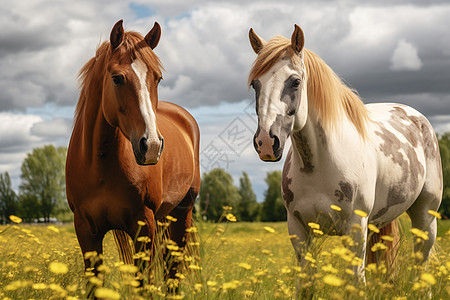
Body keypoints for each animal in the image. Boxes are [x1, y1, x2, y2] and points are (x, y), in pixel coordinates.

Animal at [65, 18, 200, 290]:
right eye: (117, 78)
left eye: (158, 78)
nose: (152, 145)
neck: (100, 165)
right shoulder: (85, 230)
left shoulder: (143, 226)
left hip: (183, 212)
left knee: (173, 270)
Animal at [250, 24, 442, 280]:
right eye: (255, 84)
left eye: (295, 82)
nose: (266, 142)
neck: (319, 165)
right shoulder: (299, 231)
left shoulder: (355, 228)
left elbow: (356, 279)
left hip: (426, 218)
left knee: (422, 266)